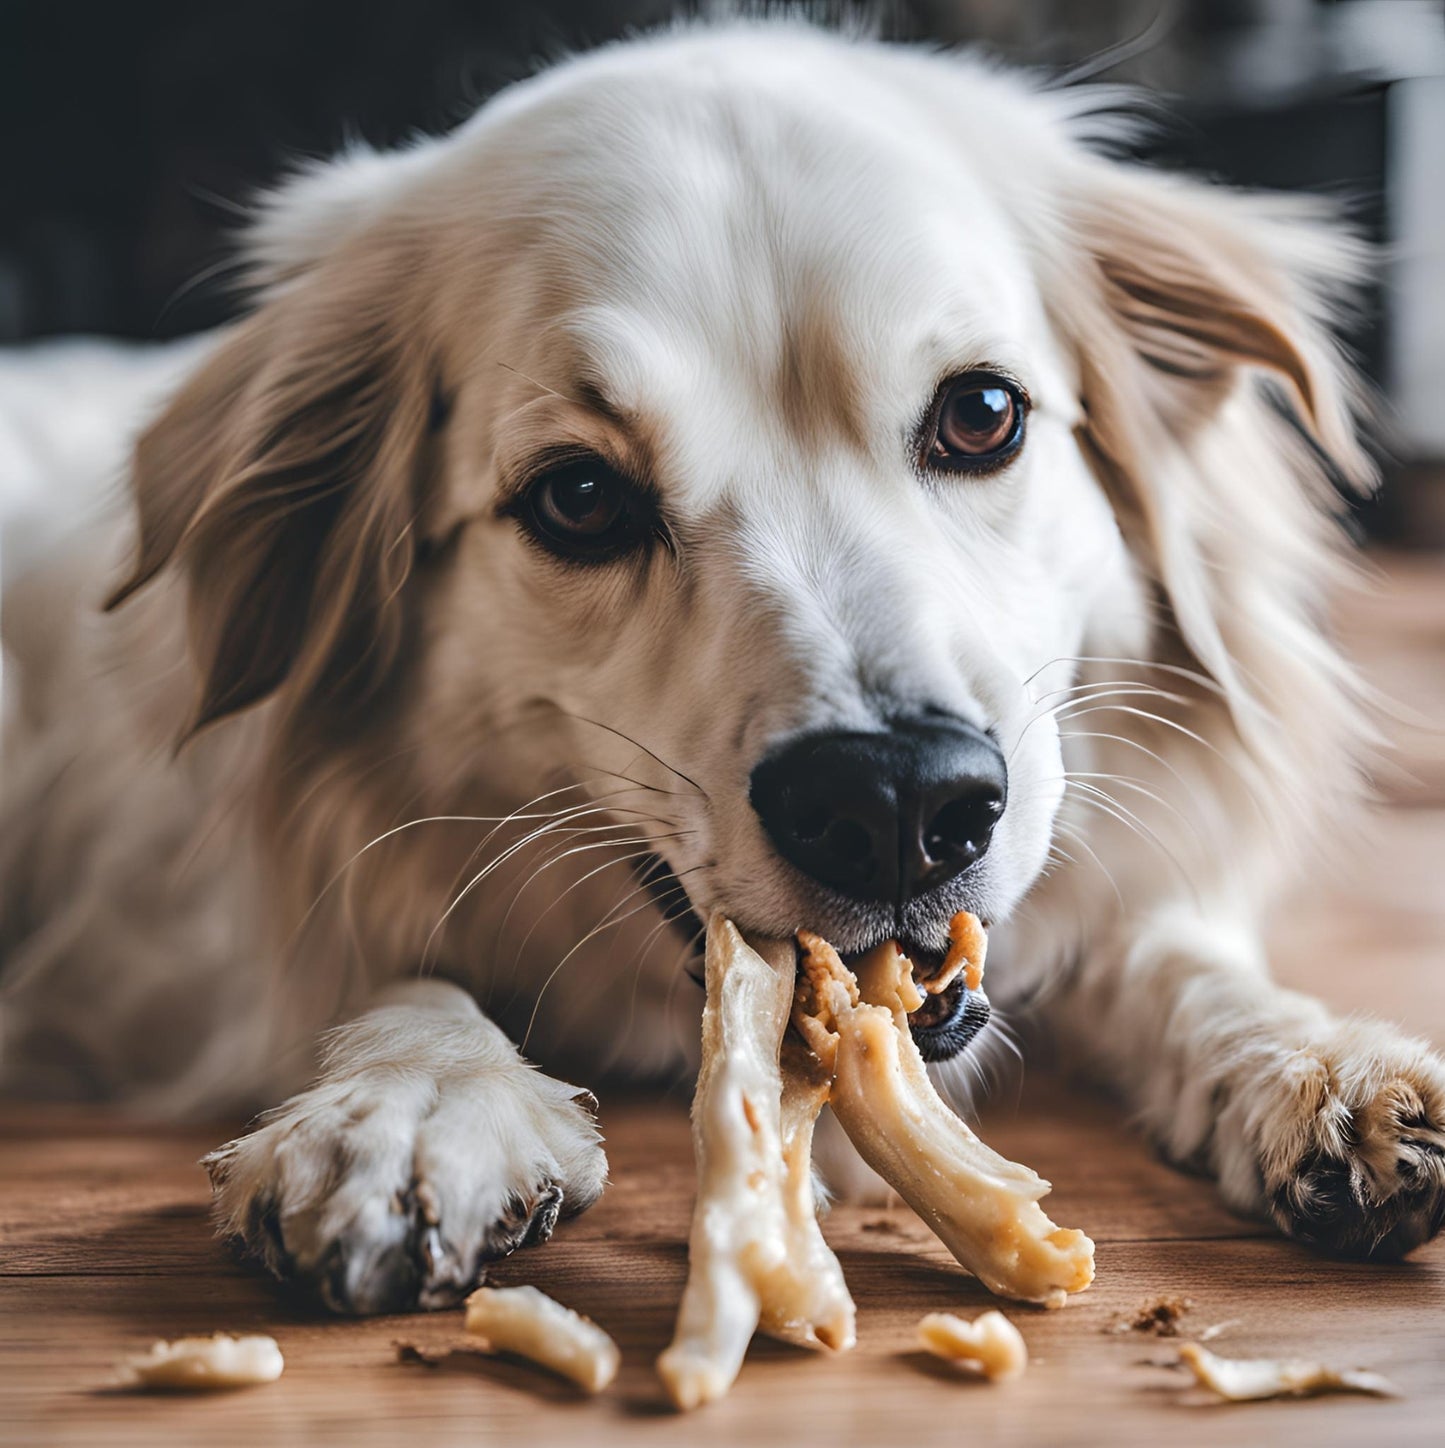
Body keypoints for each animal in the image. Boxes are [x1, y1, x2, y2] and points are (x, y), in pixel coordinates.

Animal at [2, 19, 1445, 1314]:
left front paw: (1307, 1060)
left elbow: (1166, 957)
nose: (898, 804)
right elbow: (384, 969)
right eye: (578, 497)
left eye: (982, 414)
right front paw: (411, 1104)